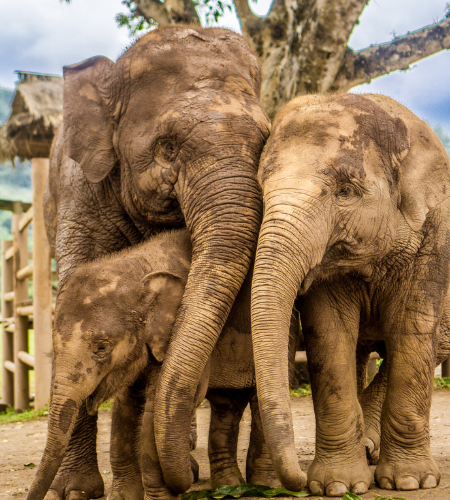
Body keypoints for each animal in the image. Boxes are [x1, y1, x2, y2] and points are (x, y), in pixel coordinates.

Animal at [27, 228, 296, 500]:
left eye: (102, 348)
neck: (138, 267)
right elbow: (125, 405)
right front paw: (123, 497)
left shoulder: (181, 333)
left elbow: (155, 407)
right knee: (226, 403)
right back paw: (228, 484)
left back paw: (266, 486)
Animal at [250, 93, 450, 496]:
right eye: (261, 189)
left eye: (345, 191)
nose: (296, 482)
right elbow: (329, 334)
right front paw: (337, 487)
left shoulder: (434, 237)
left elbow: (413, 329)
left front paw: (411, 482)